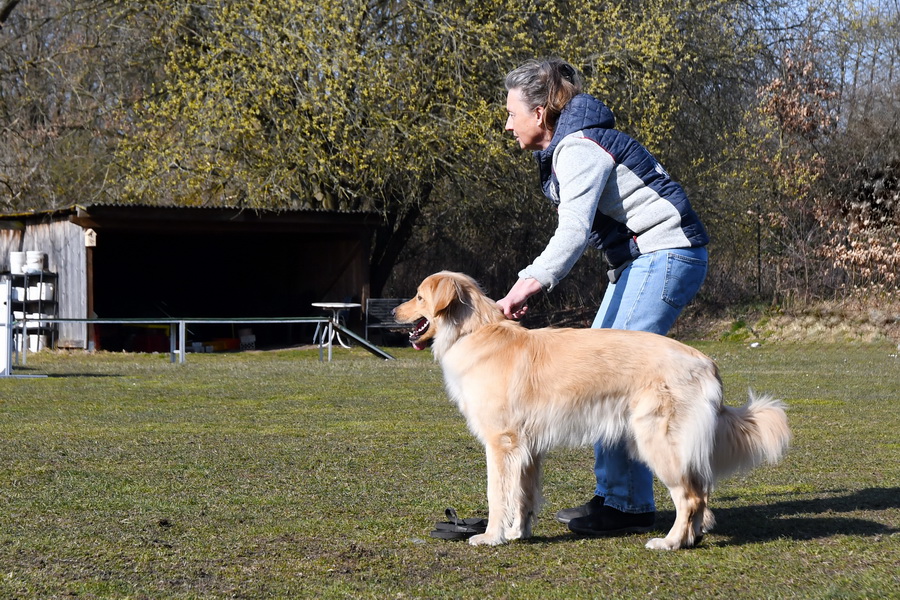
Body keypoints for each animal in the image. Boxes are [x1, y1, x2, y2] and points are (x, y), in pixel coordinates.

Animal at [398, 272, 792, 548]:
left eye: (418, 296)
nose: (391, 310)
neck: (475, 332)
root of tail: (706, 362)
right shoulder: (528, 449)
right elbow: (524, 496)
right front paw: (518, 533)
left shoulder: (501, 444)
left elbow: (498, 495)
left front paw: (490, 536)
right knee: (702, 493)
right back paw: (691, 538)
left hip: (658, 443)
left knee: (691, 498)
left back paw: (670, 542)